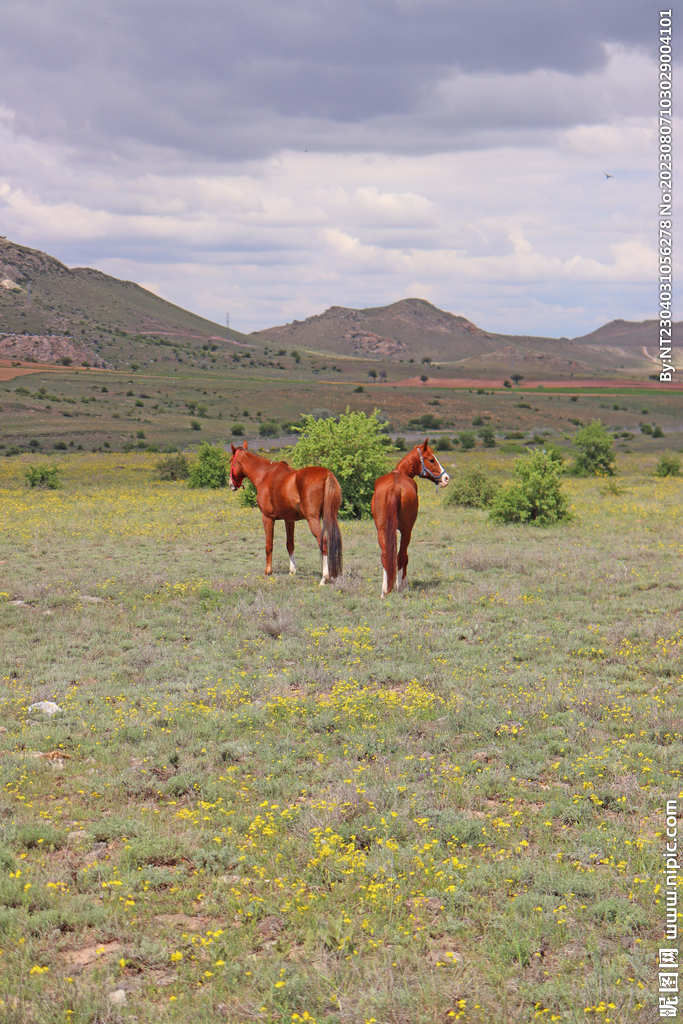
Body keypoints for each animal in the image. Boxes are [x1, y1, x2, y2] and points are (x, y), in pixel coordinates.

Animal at [229, 442, 343, 584]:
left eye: (230, 461)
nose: (231, 484)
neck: (265, 474)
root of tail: (328, 474)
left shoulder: (267, 517)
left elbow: (269, 545)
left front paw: (267, 572)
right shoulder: (289, 520)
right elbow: (290, 544)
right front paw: (292, 571)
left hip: (313, 519)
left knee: (324, 542)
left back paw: (324, 578)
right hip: (331, 516)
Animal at [371, 438, 449, 598]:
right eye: (431, 459)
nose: (446, 478)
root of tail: (395, 487)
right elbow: (404, 557)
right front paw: (404, 584)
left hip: (382, 530)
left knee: (385, 556)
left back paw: (384, 590)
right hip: (407, 531)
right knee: (401, 556)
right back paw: (399, 586)